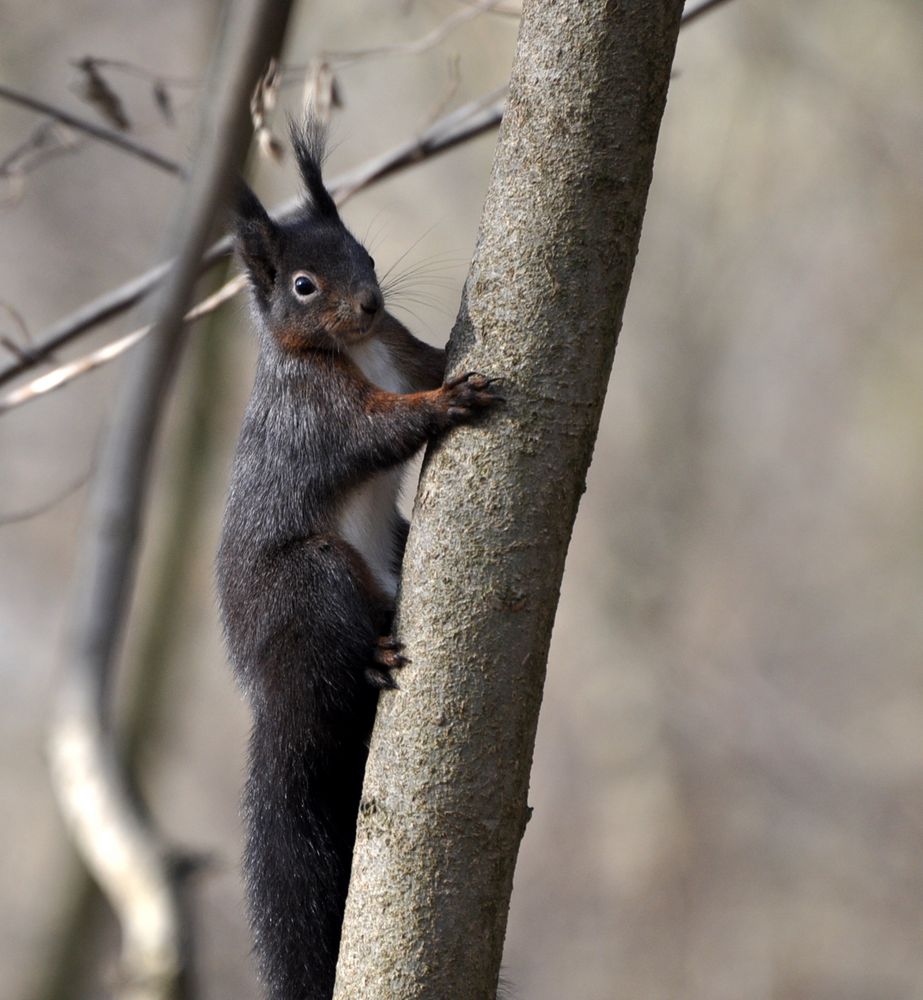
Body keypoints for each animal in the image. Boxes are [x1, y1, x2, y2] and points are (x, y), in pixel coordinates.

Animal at [216, 119, 502, 1000]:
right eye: (304, 286)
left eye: (366, 255)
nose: (370, 304)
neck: (359, 348)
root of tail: (268, 695)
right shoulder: (318, 417)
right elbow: (380, 432)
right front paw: (448, 404)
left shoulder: (403, 351)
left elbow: (432, 360)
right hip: (313, 580)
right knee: (335, 658)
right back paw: (371, 659)